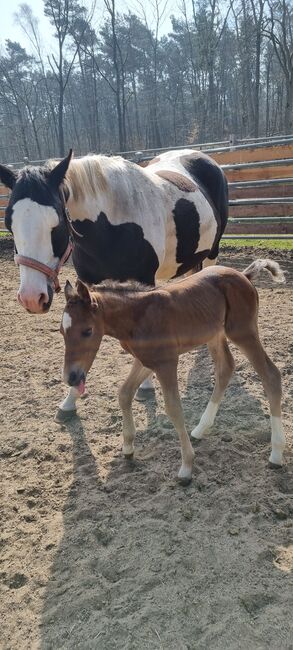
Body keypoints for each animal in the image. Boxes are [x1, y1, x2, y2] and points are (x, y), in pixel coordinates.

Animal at [60, 256, 286, 480]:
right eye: (62, 331)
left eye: (87, 331)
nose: (72, 377)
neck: (137, 316)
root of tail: (244, 275)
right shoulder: (146, 360)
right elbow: (124, 393)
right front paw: (128, 447)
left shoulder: (167, 362)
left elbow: (174, 408)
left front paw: (186, 467)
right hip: (214, 334)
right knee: (225, 368)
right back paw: (200, 429)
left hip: (242, 331)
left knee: (271, 375)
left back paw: (276, 454)